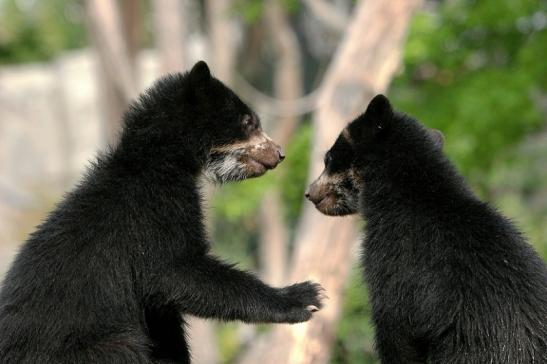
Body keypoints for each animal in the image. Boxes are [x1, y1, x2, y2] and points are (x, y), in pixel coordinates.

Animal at [0, 61, 324, 364]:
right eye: (248, 122)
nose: (279, 154)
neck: (163, 160)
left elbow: (165, 316)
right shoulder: (156, 211)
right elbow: (178, 271)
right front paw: (305, 297)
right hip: (85, 345)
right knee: (124, 346)